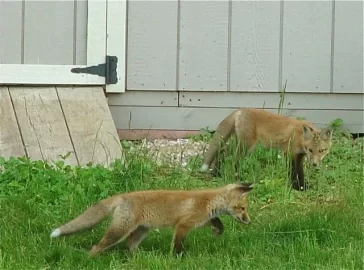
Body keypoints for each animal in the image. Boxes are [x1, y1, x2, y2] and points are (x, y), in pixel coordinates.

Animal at [49, 182, 253, 256]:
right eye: (243, 208)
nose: (249, 221)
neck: (209, 201)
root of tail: (122, 196)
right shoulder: (183, 224)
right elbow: (177, 245)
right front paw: (177, 258)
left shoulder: (202, 218)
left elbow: (217, 221)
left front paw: (218, 230)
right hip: (119, 232)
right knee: (96, 247)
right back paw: (90, 260)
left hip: (141, 231)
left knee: (130, 245)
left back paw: (137, 259)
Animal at [200, 107, 334, 190]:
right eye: (311, 150)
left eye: (321, 151)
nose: (315, 164)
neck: (300, 137)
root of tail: (240, 110)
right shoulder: (289, 153)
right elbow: (293, 173)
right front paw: (296, 187)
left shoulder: (299, 156)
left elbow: (300, 173)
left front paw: (303, 187)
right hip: (246, 146)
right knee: (232, 159)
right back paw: (236, 178)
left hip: (240, 144)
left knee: (222, 151)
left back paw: (216, 174)